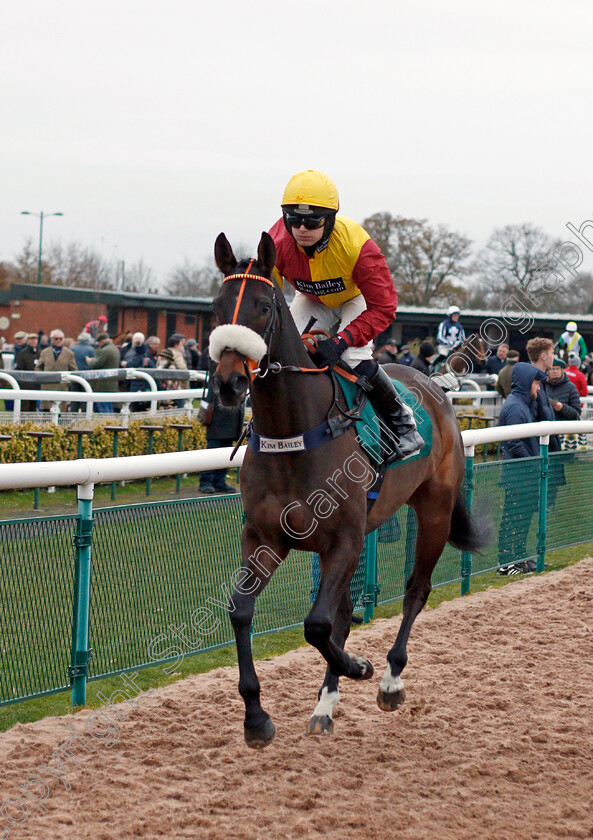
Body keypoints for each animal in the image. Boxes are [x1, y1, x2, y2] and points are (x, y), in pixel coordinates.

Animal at [210, 231, 484, 748]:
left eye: (262, 306)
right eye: (216, 307)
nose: (230, 382)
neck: (294, 433)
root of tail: (433, 385)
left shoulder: (346, 539)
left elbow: (316, 624)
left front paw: (359, 667)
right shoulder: (265, 537)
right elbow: (241, 610)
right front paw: (256, 716)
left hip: (435, 510)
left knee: (415, 591)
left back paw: (390, 679)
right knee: (344, 609)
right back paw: (325, 705)